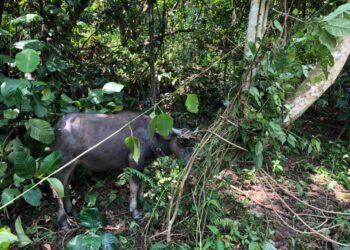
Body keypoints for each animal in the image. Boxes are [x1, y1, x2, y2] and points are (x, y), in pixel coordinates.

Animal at [52, 112, 198, 229]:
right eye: (181, 142)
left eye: (193, 144)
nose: (191, 159)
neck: (152, 136)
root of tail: (58, 125)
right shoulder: (134, 162)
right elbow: (134, 186)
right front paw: (134, 211)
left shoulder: (143, 165)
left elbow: (141, 183)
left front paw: (142, 201)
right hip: (62, 164)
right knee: (56, 190)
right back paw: (64, 222)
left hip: (72, 165)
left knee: (65, 186)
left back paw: (72, 211)